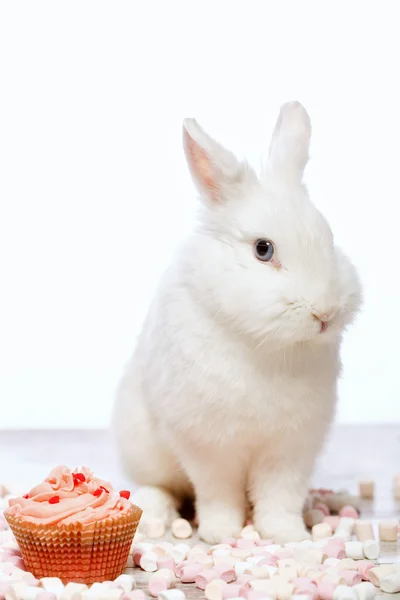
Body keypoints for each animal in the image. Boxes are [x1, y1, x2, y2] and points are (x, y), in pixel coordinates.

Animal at [112, 102, 362, 544]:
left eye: (329, 240)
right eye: (263, 250)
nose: (325, 313)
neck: (267, 346)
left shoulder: (290, 448)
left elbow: (279, 494)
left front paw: (287, 534)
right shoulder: (208, 447)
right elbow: (218, 493)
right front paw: (220, 532)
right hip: (143, 446)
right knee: (159, 484)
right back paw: (155, 509)